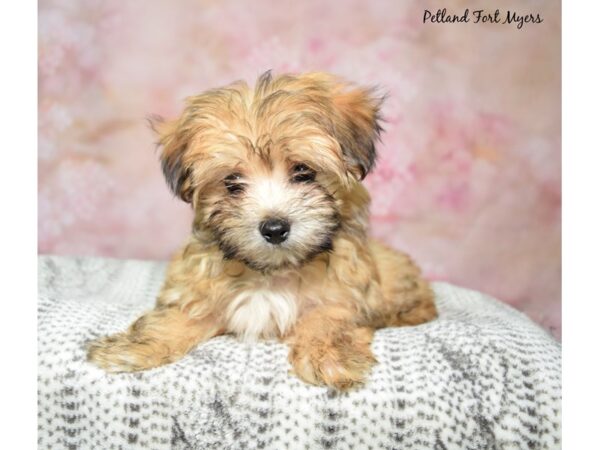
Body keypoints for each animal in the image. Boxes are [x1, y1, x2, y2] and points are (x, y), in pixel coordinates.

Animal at [88, 72, 436, 388]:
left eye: (303, 172)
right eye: (232, 183)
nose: (274, 228)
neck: (272, 273)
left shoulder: (345, 294)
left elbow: (328, 316)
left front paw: (328, 355)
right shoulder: (200, 289)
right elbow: (182, 314)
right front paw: (134, 348)